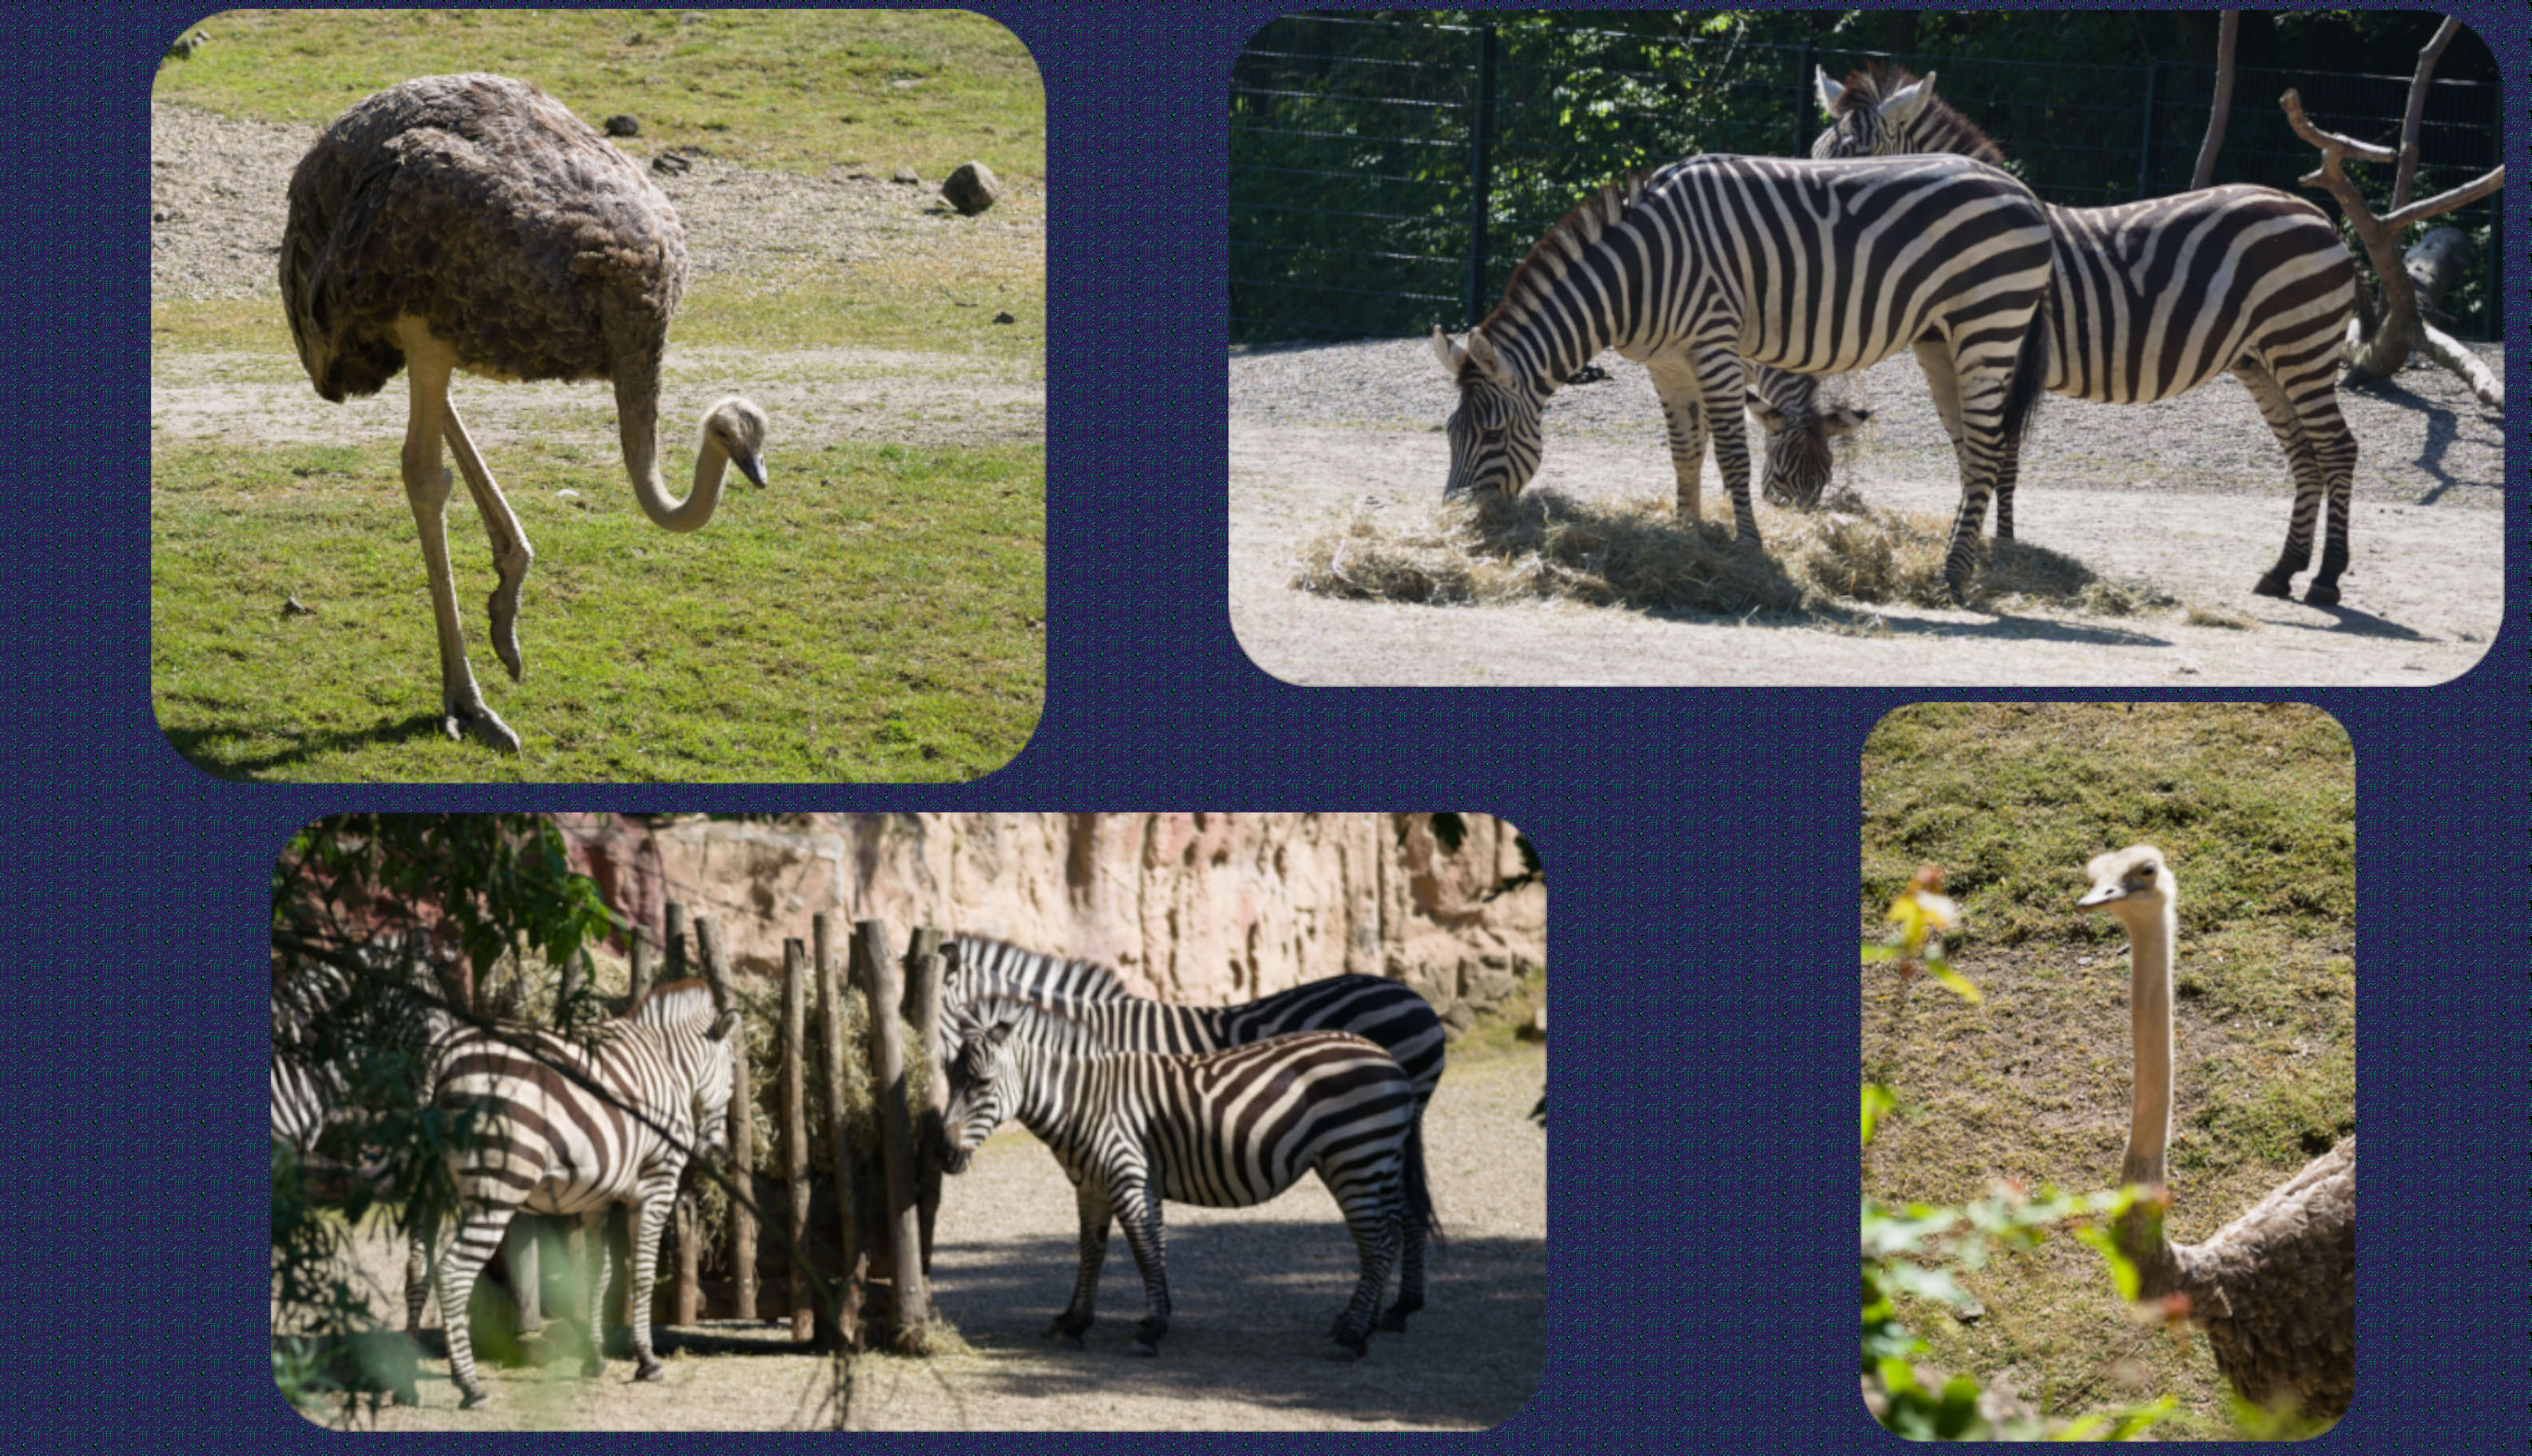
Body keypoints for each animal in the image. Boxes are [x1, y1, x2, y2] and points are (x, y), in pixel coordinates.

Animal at [416, 978, 738, 1407]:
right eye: (733, 1072)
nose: (718, 1153)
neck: (669, 1067)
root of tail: (443, 1054)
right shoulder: (658, 1183)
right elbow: (640, 1273)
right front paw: (647, 1361)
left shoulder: (596, 1199)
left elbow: (597, 1275)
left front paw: (594, 1358)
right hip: (497, 1188)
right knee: (452, 1272)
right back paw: (471, 1387)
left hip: (437, 1186)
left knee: (418, 1268)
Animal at [941, 935, 1446, 1330]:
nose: (941, 1147)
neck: (1096, 1041)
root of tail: (1417, 998)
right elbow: (1122, 1239)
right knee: (1404, 1211)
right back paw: (1387, 1311)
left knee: (1402, 1212)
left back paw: (1394, 1310)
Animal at [1431, 150, 2055, 603]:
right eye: (1449, 432)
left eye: (1491, 434)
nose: (1455, 517)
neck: (1638, 273)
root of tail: (2026, 192)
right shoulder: (1667, 362)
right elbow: (1685, 450)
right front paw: (1687, 537)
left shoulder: (1714, 343)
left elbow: (1732, 454)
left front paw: (1750, 552)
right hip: (1939, 340)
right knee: (1971, 452)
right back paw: (1954, 565)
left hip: (1989, 324)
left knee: (1986, 451)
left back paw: (1952, 577)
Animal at [1754, 65, 2361, 605]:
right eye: (1815, 151)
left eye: (1856, 159)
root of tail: (2315, 213)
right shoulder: (1951, 354)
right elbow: (1976, 452)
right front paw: (1988, 543)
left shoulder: (1999, 354)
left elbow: (1997, 456)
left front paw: (1996, 545)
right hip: (2261, 359)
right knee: (2304, 452)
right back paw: (2283, 571)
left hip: (2303, 346)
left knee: (2337, 448)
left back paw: (2326, 578)